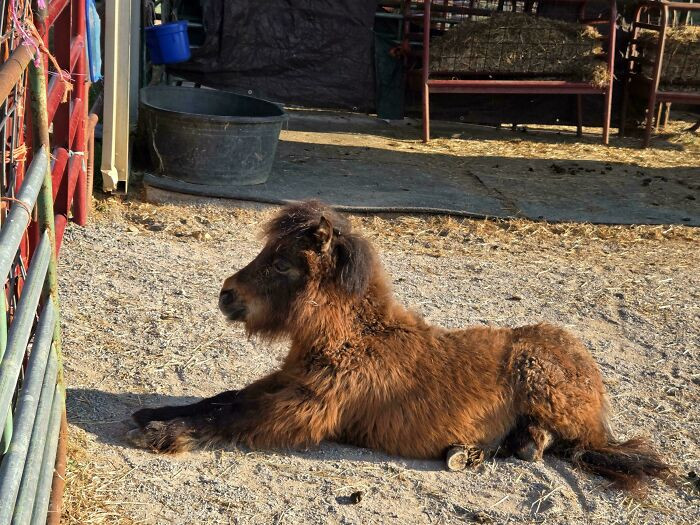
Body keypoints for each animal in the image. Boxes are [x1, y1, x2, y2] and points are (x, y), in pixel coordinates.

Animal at [127, 200, 669, 491]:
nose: (227, 295)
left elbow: (234, 416)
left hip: (546, 387)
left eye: (282, 264)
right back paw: (477, 450)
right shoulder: (286, 382)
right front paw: (154, 414)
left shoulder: (303, 409)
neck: (356, 341)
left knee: (568, 443)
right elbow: (224, 398)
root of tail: (589, 372)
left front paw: (161, 434)